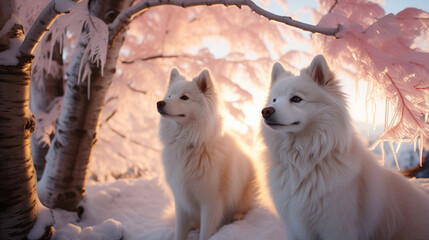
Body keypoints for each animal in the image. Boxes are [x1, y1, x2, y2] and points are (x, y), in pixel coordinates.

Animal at [157, 67, 258, 240]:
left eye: (184, 97)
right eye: (169, 95)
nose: (159, 103)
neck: (191, 145)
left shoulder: (211, 202)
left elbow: (205, 233)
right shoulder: (181, 199)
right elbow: (180, 231)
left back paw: (238, 217)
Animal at [260, 54, 429, 240]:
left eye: (296, 99)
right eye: (274, 100)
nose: (266, 111)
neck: (302, 160)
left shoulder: (337, 226)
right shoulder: (294, 227)